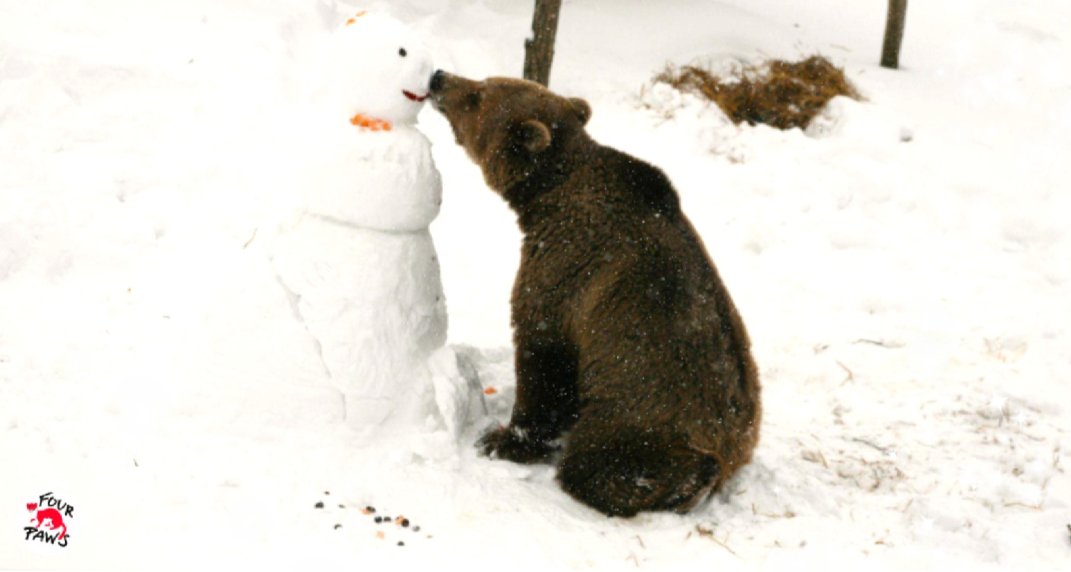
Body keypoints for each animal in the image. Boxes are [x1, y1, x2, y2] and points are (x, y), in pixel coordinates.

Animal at [428, 71, 761, 517]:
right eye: (485, 82)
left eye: (478, 96)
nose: (439, 78)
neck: (545, 198)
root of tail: (732, 450)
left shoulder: (564, 273)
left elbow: (543, 357)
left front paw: (501, 439)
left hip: (636, 417)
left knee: (599, 464)